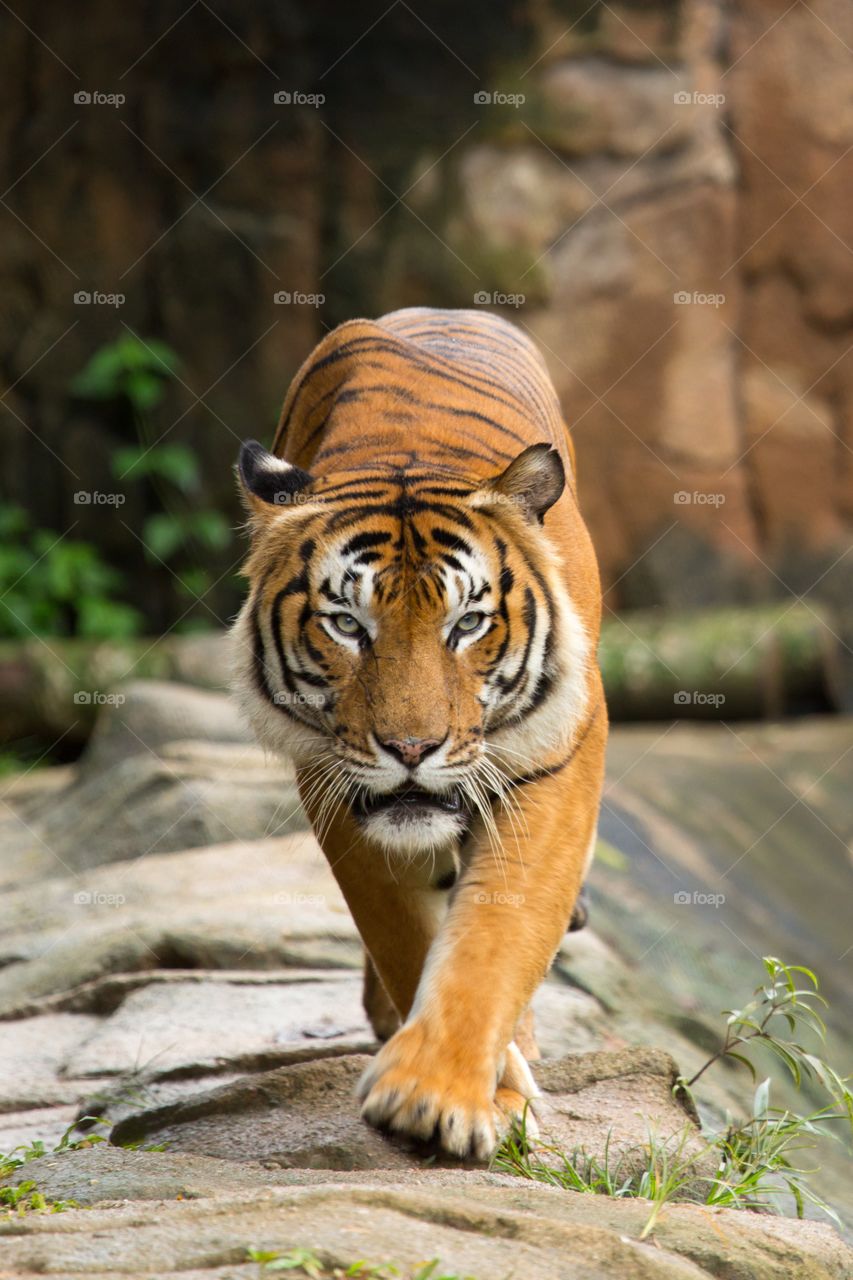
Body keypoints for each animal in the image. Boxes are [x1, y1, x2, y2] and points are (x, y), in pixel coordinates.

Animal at [230, 307, 604, 1162]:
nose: (410, 751)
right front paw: (480, 1087)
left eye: (465, 624)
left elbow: (496, 932)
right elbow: (402, 931)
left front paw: (435, 1096)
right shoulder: (334, 779)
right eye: (346, 624)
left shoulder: (554, 758)